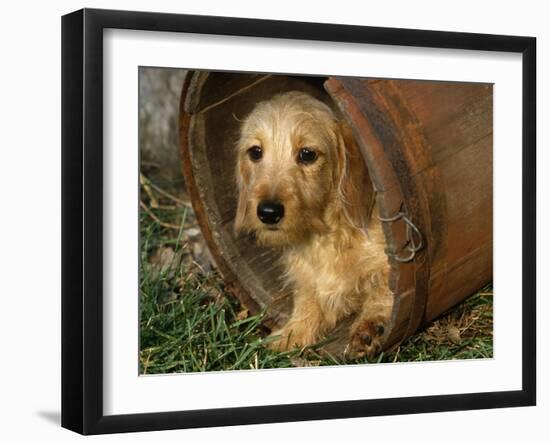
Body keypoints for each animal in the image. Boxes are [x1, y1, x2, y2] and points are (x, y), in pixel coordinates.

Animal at [235, 92, 394, 360]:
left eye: (307, 154)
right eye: (255, 152)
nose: (268, 212)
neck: (325, 236)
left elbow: (383, 289)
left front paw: (371, 326)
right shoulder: (307, 278)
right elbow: (309, 301)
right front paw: (291, 334)